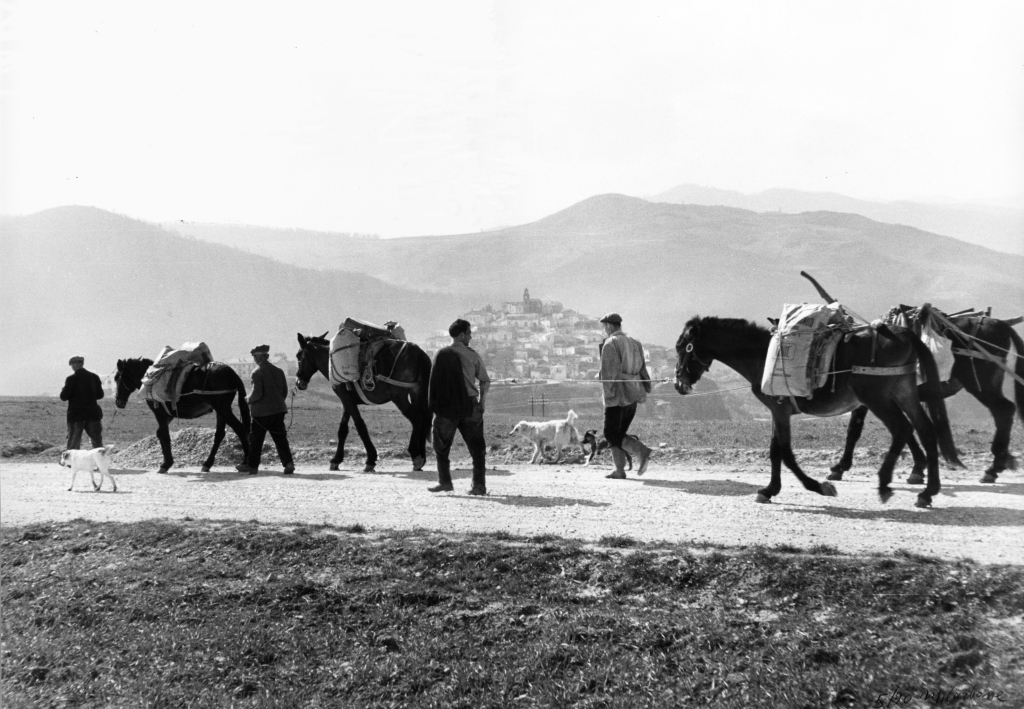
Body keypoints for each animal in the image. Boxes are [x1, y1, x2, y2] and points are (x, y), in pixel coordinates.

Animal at [115, 360, 250, 471]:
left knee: (239, 428)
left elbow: (165, 436)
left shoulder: (160, 413)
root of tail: (231, 372)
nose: (118, 402)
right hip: (220, 411)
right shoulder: (168, 415)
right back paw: (207, 463)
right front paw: (167, 461)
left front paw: (166, 464)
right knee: (220, 434)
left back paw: (245, 462)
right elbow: (160, 434)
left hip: (222, 408)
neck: (151, 378)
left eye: (117, 378)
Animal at [292, 331, 432, 471]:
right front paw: (337, 459)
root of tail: (418, 352)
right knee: (424, 419)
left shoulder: (347, 400)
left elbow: (360, 426)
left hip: (399, 396)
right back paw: (422, 457)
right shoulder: (347, 401)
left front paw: (370, 459)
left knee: (417, 418)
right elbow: (343, 429)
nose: (299, 382)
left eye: (299, 355)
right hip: (417, 393)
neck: (331, 360)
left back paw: (415, 455)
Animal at [671, 317, 958, 510]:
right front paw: (770, 490)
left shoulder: (779, 409)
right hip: (903, 391)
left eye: (682, 346)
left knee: (902, 429)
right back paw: (928, 492)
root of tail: (905, 333)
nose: (678, 384)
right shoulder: (777, 411)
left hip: (876, 397)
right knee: (926, 430)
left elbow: (785, 453)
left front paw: (819, 487)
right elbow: (775, 451)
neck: (763, 355)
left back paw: (885, 484)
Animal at [827, 313, 1024, 485]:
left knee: (1004, 410)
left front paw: (840, 467)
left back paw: (993, 469)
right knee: (1004, 412)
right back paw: (1000, 463)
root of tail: (1001, 324)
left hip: (980, 384)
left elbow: (864, 430)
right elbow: (856, 430)